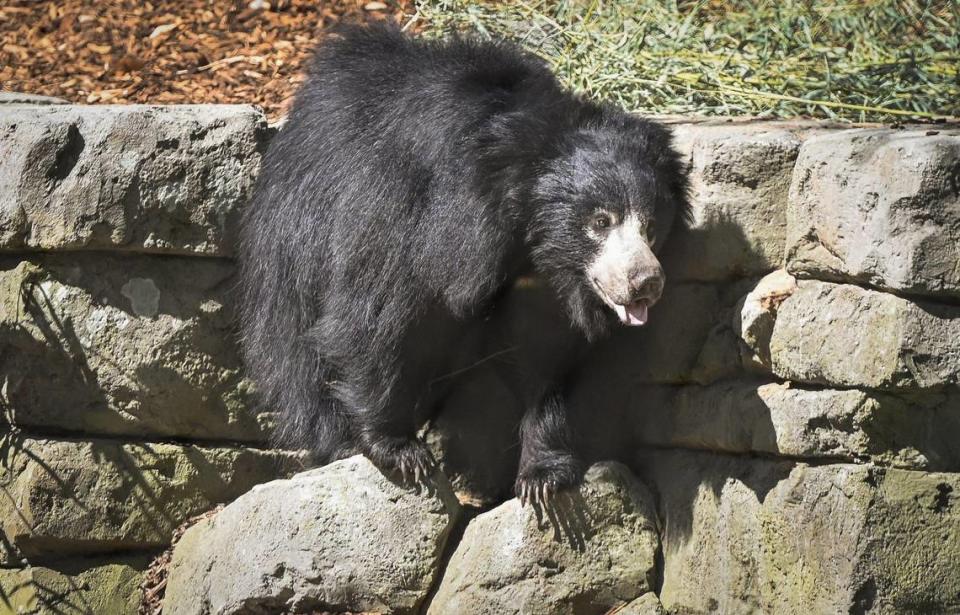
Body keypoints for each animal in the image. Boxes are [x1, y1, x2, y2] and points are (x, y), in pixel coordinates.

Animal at [240, 25, 688, 506]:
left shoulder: (539, 284)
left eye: (651, 226)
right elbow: (375, 314)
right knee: (296, 353)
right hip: (294, 241)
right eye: (600, 222)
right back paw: (335, 442)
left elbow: (545, 353)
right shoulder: (413, 214)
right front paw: (398, 449)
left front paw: (543, 477)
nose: (646, 282)